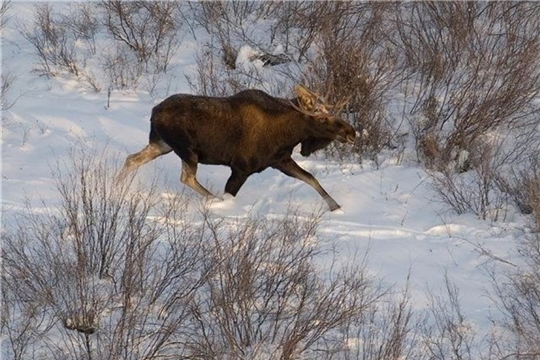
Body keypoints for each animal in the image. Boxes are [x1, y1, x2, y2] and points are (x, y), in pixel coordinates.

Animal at [117, 84, 354, 211]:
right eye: (321, 118)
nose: (351, 132)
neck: (288, 134)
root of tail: (153, 112)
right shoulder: (241, 168)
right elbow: (229, 194)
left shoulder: (280, 160)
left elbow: (311, 178)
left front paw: (336, 207)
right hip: (186, 149)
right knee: (187, 177)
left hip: (161, 144)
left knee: (132, 159)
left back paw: (117, 187)